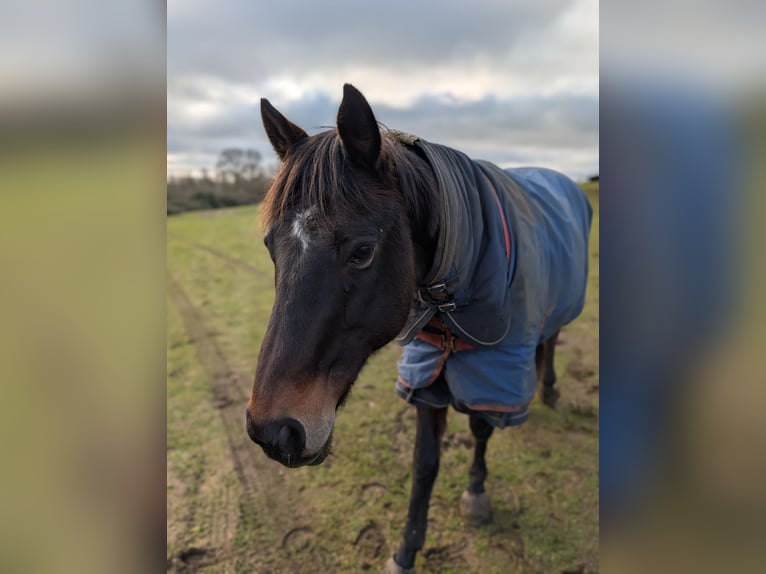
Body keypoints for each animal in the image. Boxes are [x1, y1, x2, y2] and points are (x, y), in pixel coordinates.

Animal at [246, 83, 592, 573]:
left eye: (362, 251)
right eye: (270, 246)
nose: (274, 432)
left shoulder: (492, 369)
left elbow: (480, 429)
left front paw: (476, 493)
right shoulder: (426, 372)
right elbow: (424, 463)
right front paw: (407, 549)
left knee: (552, 340)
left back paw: (550, 389)